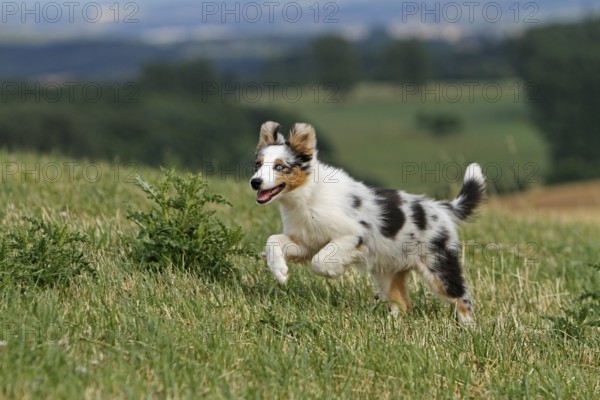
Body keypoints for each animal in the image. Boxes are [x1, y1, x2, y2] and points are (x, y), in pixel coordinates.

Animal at [251, 121, 486, 322]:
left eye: (280, 167)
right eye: (258, 165)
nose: (255, 182)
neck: (307, 196)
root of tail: (442, 208)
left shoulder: (353, 234)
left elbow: (320, 261)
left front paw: (333, 271)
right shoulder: (306, 242)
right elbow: (273, 240)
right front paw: (280, 272)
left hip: (439, 264)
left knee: (461, 298)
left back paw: (468, 329)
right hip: (388, 273)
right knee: (403, 305)